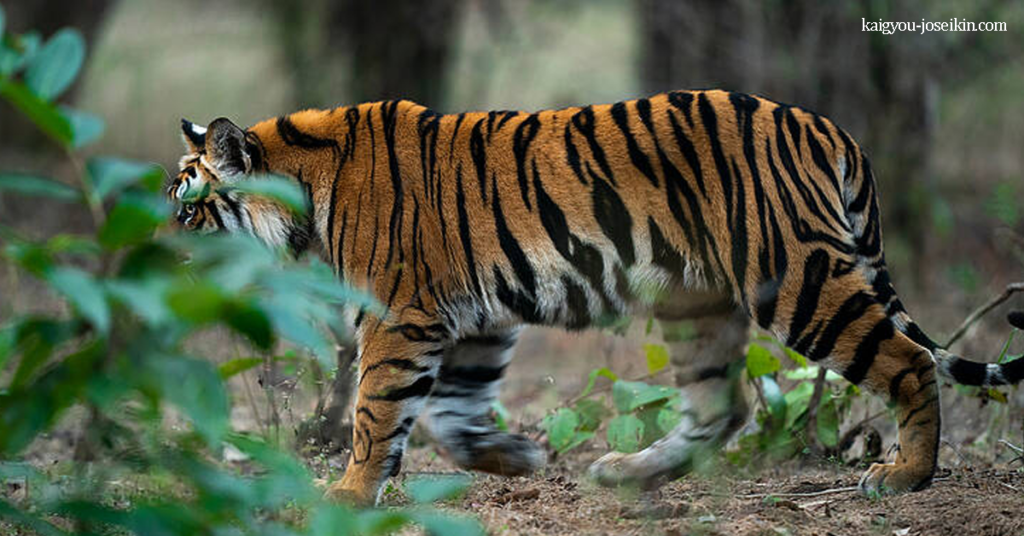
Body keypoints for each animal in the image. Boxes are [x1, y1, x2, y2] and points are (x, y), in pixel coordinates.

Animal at [167, 90, 1024, 505]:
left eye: (185, 209)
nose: (157, 259)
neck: (304, 189)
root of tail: (827, 126)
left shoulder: (398, 317)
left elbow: (375, 415)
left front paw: (345, 493)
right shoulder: (471, 321)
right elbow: (448, 414)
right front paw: (515, 458)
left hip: (797, 278)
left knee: (910, 361)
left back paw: (905, 476)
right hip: (695, 304)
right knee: (723, 407)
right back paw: (628, 474)